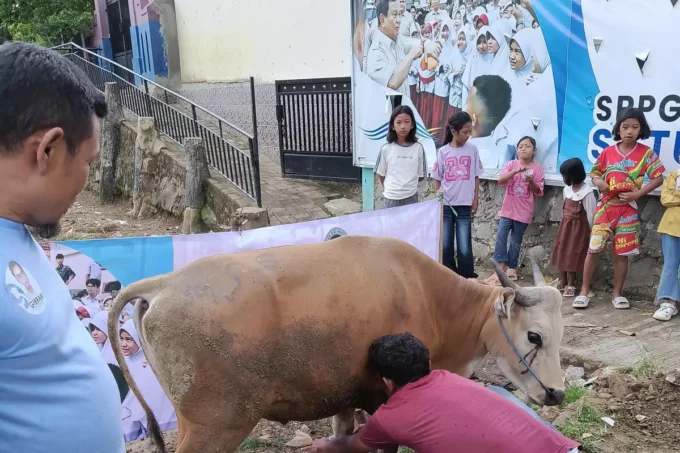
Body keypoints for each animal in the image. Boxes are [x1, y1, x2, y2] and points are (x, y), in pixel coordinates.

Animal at [108, 236, 565, 453]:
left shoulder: (346, 397)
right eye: (534, 336)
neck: (429, 296)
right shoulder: (383, 400)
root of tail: (164, 284)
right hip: (214, 428)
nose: (558, 393)